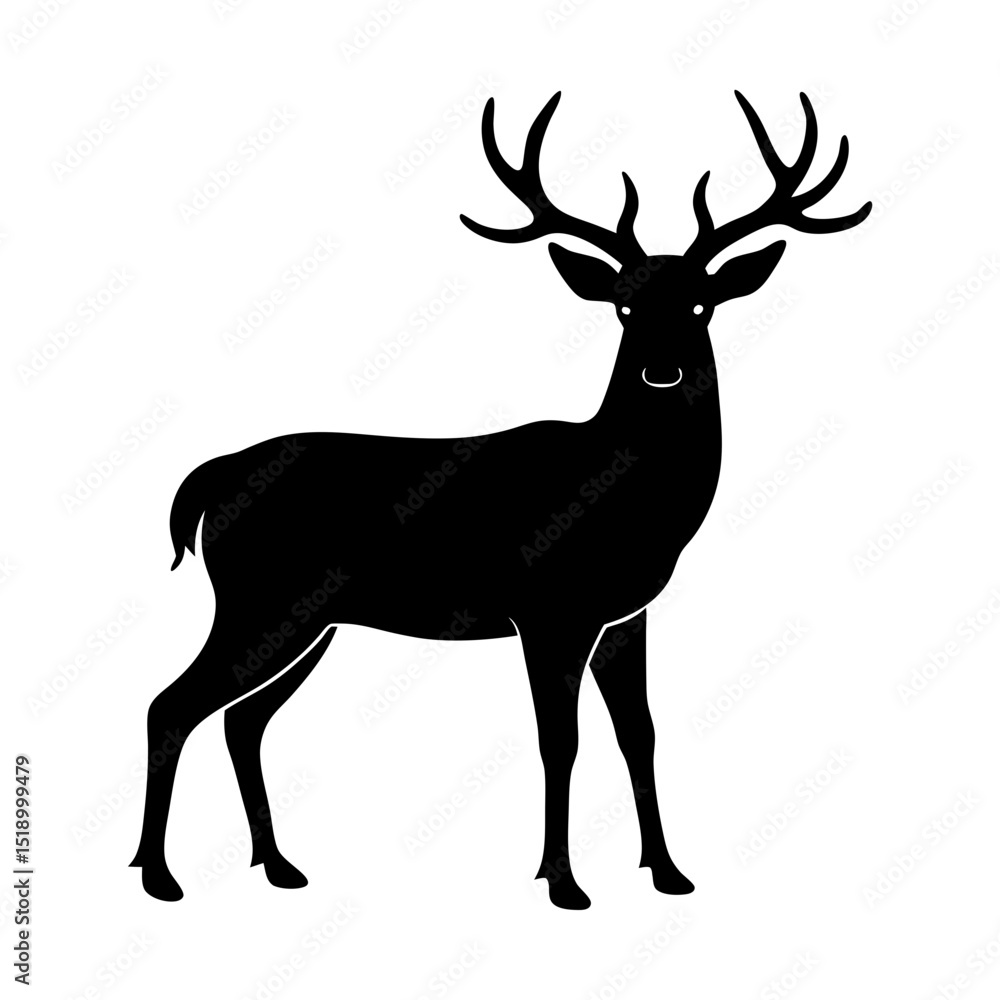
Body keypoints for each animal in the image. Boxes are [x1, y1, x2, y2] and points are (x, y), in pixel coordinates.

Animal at [131, 90, 870, 909]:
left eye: (703, 304)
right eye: (622, 307)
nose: (662, 371)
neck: (634, 503)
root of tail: (209, 479)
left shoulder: (625, 614)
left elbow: (639, 733)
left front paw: (669, 872)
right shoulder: (548, 608)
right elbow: (560, 739)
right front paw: (563, 882)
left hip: (308, 618)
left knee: (241, 720)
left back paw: (279, 865)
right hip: (259, 599)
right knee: (172, 705)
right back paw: (158, 875)